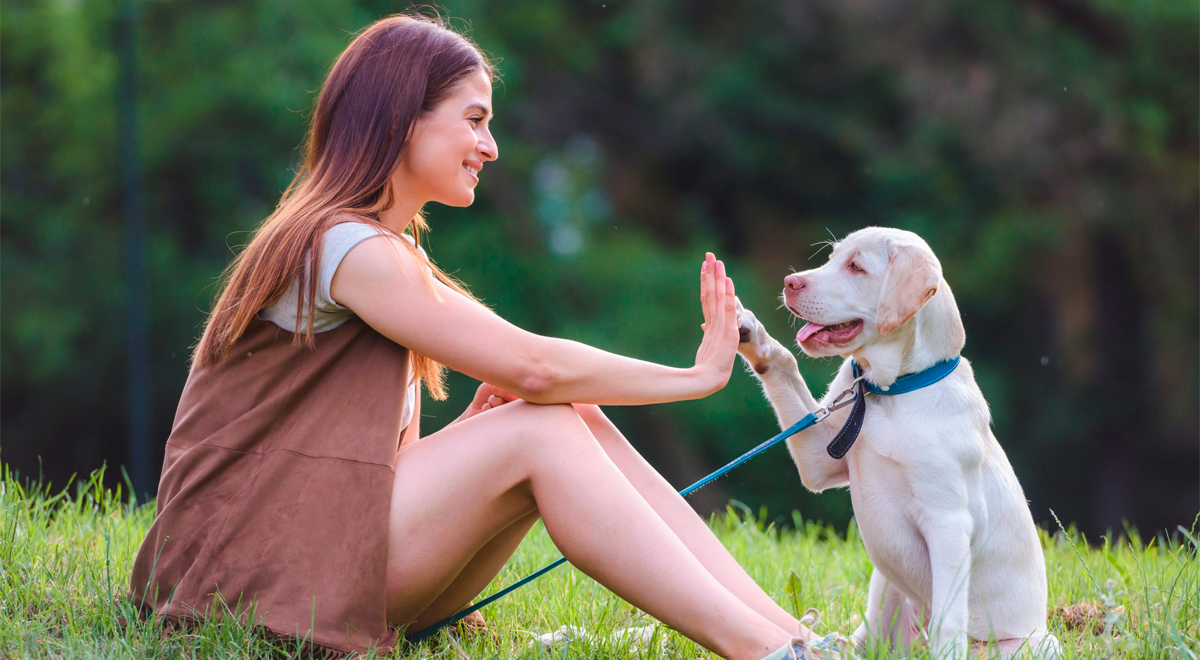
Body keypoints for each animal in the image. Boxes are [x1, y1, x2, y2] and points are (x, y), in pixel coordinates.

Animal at [734, 229, 1065, 660]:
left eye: (857, 267)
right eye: (832, 257)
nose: (790, 283)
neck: (888, 392)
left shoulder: (948, 522)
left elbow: (947, 619)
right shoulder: (819, 459)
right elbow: (787, 364)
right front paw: (752, 336)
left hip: (1033, 642)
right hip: (881, 602)